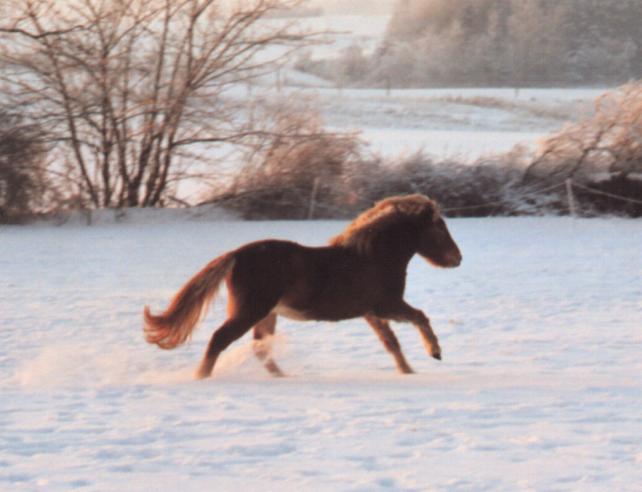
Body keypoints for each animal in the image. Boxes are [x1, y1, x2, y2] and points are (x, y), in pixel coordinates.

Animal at [142, 194, 460, 378]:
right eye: (439, 227)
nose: (458, 258)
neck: (373, 256)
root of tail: (235, 255)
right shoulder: (386, 305)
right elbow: (420, 317)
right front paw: (435, 352)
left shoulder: (371, 312)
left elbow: (391, 343)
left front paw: (408, 372)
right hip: (249, 311)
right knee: (219, 340)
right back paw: (201, 378)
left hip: (266, 314)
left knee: (259, 347)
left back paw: (283, 378)